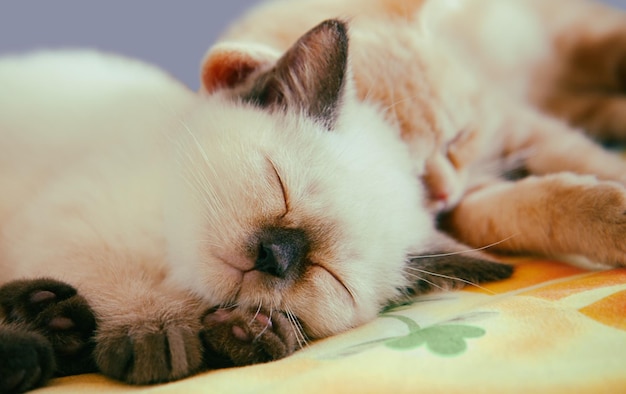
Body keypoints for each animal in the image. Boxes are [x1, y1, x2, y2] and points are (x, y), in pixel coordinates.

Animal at [0, 23, 508, 390]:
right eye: (279, 185)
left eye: (329, 275)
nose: (274, 255)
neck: (169, 257)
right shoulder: (68, 220)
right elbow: (110, 272)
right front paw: (155, 328)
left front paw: (254, 330)